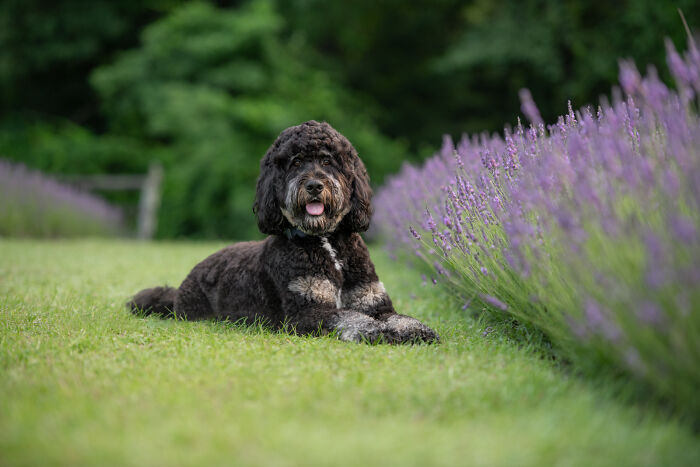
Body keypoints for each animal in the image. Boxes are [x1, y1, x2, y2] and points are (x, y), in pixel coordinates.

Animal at [127, 120, 438, 344]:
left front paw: (416, 330)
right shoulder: (307, 312)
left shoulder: (375, 302)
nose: (314, 185)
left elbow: (398, 317)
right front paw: (376, 332)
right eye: (296, 162)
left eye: (328, 161)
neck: (325, 241)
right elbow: (350, 317)